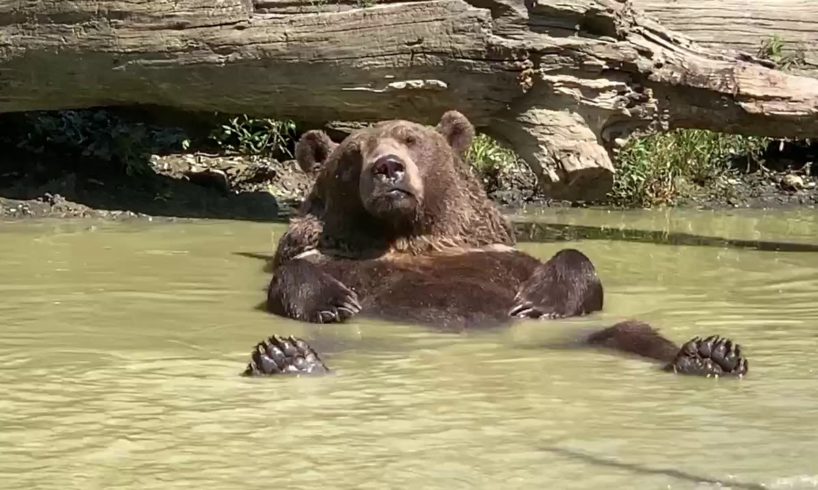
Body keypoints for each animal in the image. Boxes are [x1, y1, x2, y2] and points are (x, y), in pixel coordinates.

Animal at [253, 111, 744, 378]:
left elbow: (571, 262)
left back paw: (709, 355)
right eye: (352, 154)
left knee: (631, 333)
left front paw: (540, 300)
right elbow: (294, 273)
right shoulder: (333, 255)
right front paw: (333, 303)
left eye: (412, 139)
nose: (388, 167)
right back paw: (288, 358)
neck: (410, 235)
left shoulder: (497, 255)